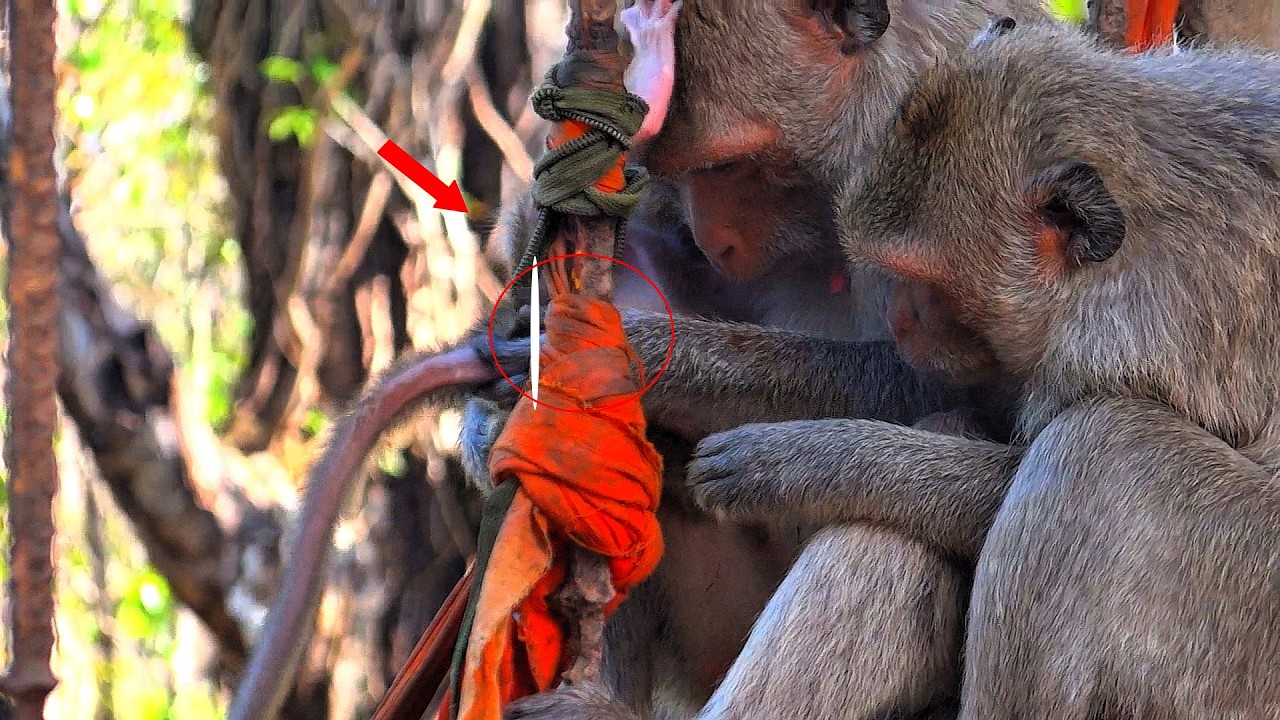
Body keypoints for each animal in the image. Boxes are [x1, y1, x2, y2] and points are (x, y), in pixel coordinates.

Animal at [681, 20, 1280, 718]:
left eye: (926, 281)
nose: (901, 319)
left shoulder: (1139, 336)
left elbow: (1010, 480)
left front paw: (797, 460)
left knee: (1100, 451)